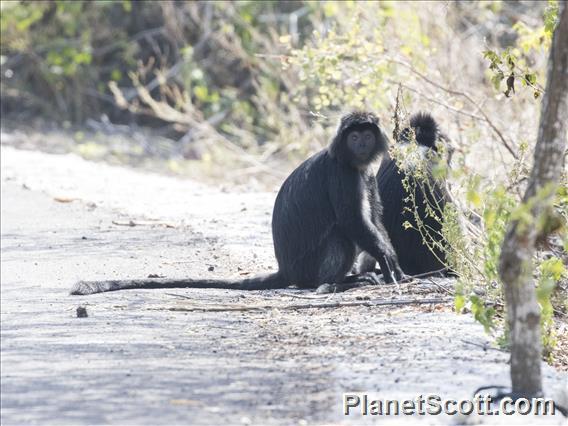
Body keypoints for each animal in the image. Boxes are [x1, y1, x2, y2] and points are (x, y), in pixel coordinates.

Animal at [72, 111, 404, 294]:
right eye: (354, 137)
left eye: (365, 136)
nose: (361, 144)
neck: (350, 160)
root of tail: (286, 270)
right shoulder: (342, 174)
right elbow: (354, 222)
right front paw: (389, 262)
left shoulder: (366, 174)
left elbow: (374, 220)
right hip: (308, 267)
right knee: (340, 235)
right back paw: (343, 282)